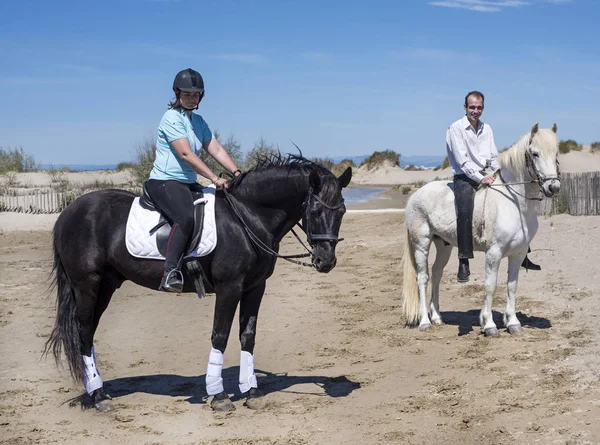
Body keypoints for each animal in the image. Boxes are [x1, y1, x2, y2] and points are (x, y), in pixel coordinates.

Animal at [45, 154, 352, 412]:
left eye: (341, 212)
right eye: (314, 210)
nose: (326, 261)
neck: (247, 217)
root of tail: (67, 213)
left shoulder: (255, 287)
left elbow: (248, 335)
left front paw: (251, 392)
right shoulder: (230, 287)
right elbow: (220, 335)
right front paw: (218, 395)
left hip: (106, 285)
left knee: (89, 333)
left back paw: (98, 391)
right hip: (87, 285)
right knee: (84, 332)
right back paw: (98, 397)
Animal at [404, 123, 564, 334]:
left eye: (556, 154)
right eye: (535, 154)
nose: (553, 187)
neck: (514, 202)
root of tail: (415, 195)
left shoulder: (518, 253)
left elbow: (512, 286)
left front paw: (513, 323)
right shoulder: (493, 253)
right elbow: (490, 286)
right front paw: (489, 324)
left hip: (444, 245)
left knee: (436, 274)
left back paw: (437, 317)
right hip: (421, 243)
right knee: (422, 277)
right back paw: (424, 321)